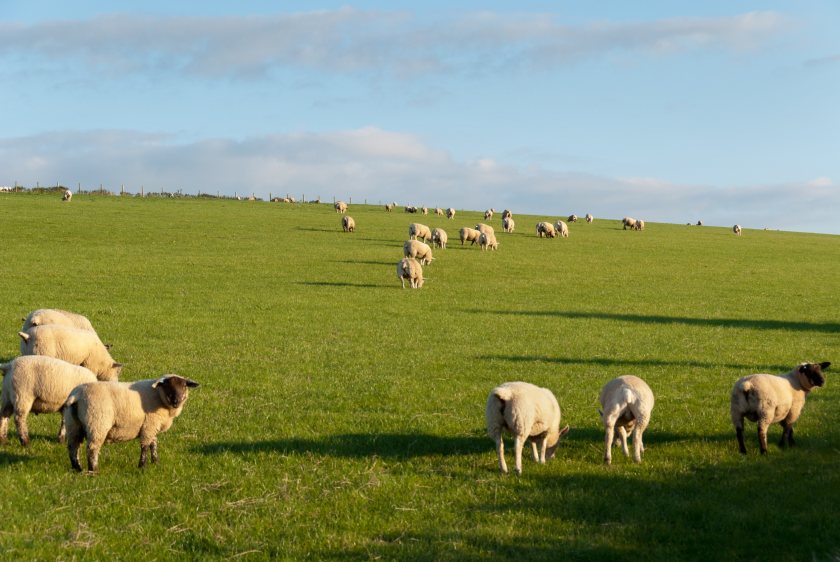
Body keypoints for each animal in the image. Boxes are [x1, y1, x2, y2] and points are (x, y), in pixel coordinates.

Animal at [64, 374, 199, 470]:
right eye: (167, 386)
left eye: (184, 386)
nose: (176, 401)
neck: (159, 396)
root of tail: (76, 395)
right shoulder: (149, 424)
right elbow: (145, 446)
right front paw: (142, 467)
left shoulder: (153, 426)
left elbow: (154, 443)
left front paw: (155, 463)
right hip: (97, 423)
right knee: (92, 449)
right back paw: (94, 470)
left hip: (73, 424)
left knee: (72, 446)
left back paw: (77, 469)